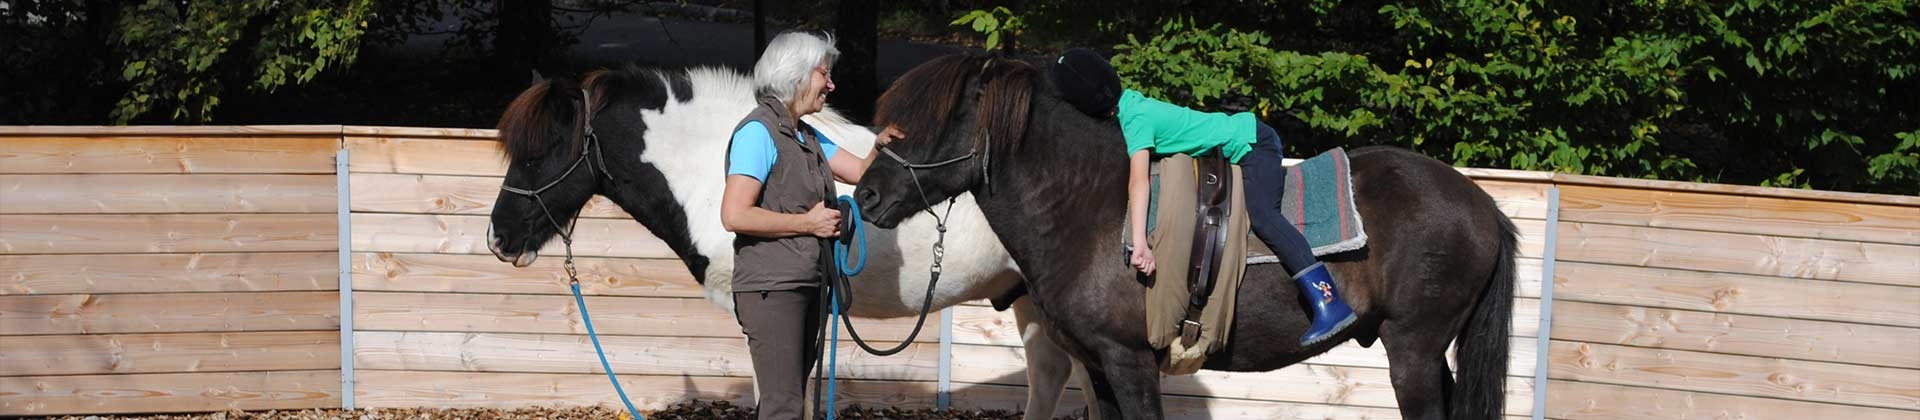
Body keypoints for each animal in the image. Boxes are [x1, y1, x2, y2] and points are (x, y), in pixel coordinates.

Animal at [852, 53, 1512, 420]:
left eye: (928, 123)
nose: (867, 197)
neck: (1087, 207)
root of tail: (1482, 204)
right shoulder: (1099, 365)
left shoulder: (1130, 361)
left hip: (1414, 352)